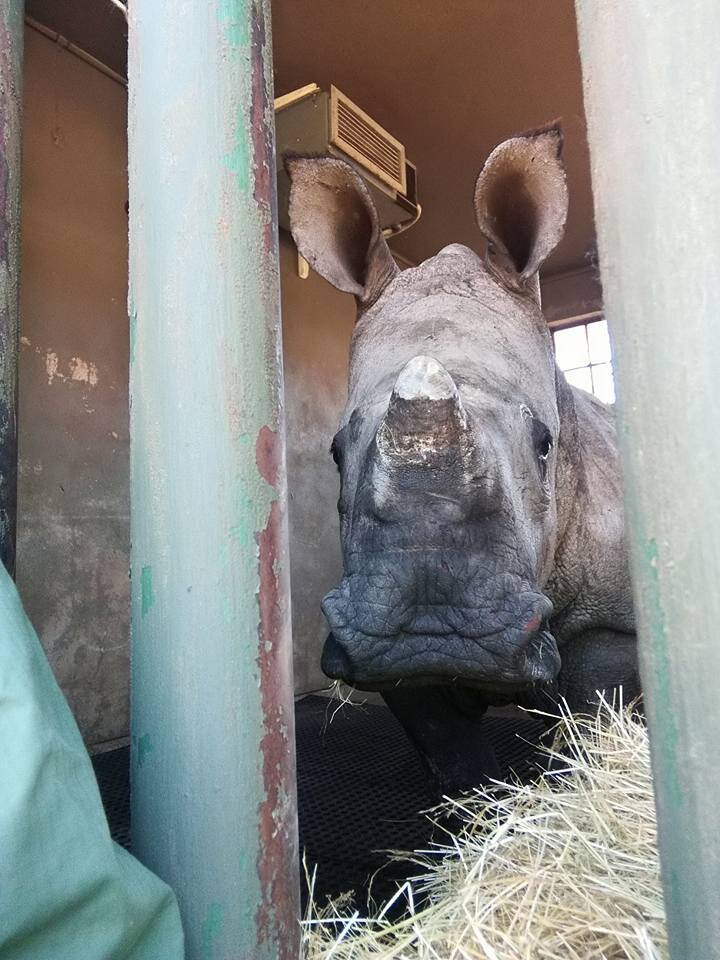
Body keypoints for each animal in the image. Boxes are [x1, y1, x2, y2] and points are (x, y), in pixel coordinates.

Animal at [286, 124, 639, 793]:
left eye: (544, 445)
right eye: (336, 452)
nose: (431, 634)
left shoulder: (612, 620)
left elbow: (590, 715)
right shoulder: (373, 633)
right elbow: (450, 752)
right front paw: (475, 806)